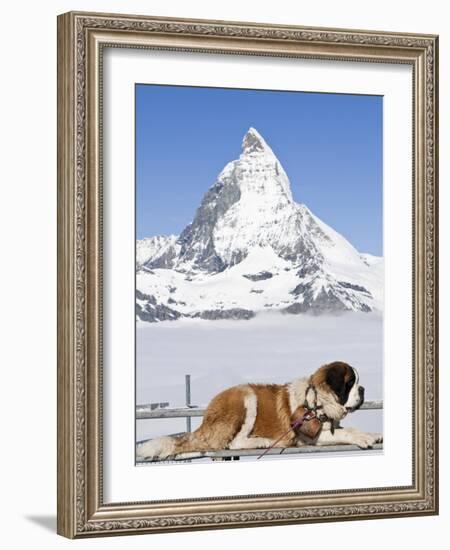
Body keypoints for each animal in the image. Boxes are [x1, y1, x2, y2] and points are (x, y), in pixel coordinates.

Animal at [135, 362, 382, 462]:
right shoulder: (308, 436)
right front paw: (364, 437)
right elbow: (347, 430)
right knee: (231, 443)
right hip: (246, 397)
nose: (363, 389)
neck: (317, 400)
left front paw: (374, 434)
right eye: (350, 383)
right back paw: (261, 440)